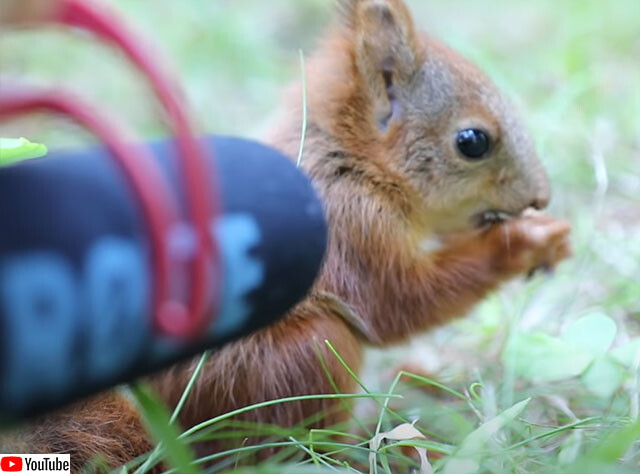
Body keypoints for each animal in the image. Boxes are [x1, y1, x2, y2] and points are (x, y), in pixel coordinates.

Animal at [5, 0, 568, 468]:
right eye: (472, 141)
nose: (541, 196)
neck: (354, 161)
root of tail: (165, 429)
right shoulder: (352, 228)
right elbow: (401, 301)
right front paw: (529, 241)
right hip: (299, 358)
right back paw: (368, 451)